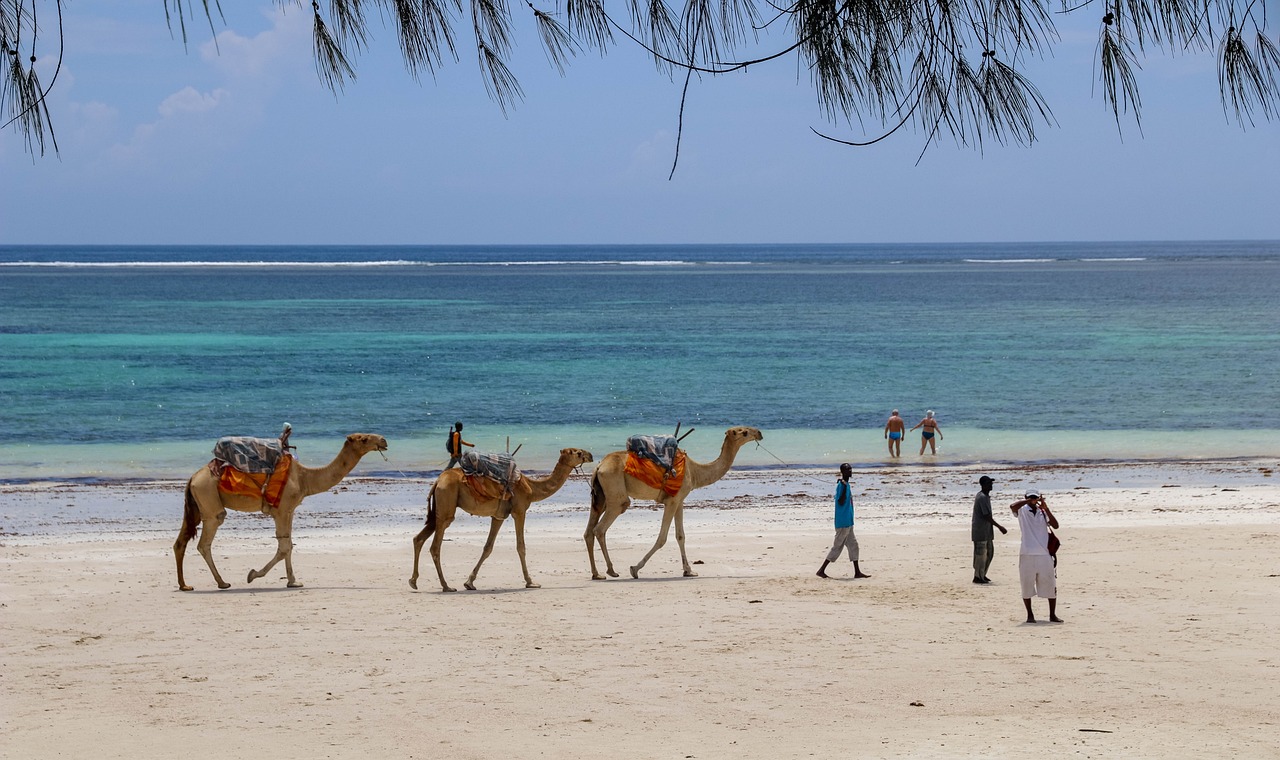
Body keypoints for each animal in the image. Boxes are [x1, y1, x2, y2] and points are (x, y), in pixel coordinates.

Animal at [172, 429, 386, 588]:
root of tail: (192, 478)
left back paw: (185, 585)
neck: (304, 478)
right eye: (364, 438)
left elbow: (289, 545)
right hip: (209, 501)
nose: (383, 440)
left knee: (181, 541)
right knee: (205, 542)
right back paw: (222, 582)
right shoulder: (281, 510)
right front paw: (253, 575)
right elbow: (284, 548)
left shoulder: (289, 511)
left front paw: (293, 581)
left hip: (197, 505)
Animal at [407, 442, 591, 591]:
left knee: (419, 538)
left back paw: (414, 581)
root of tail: (438, 482)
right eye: (577, 452)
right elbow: (521, 547)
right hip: (446, 505)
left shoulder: (498, 516)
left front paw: (469, 582)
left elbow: (488, 547)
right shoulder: (519, 511)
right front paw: (531, 582)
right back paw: (446, 586)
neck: (531, 488)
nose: (590, 455)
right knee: (435, 546)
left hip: (438, 510)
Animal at [586, 422, 762, 575]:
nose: (759, 433)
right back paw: (611, 570)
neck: (695, 471)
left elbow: (680, 535)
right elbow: (662, 538)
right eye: (744, 432)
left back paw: (597, 574)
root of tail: (599, 466)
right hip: (616, 493)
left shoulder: (679, 501)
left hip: (600, 497)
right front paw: (635, 569)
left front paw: (689, 570)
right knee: (600, 528)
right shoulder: (671, 501)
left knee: (589, 531)